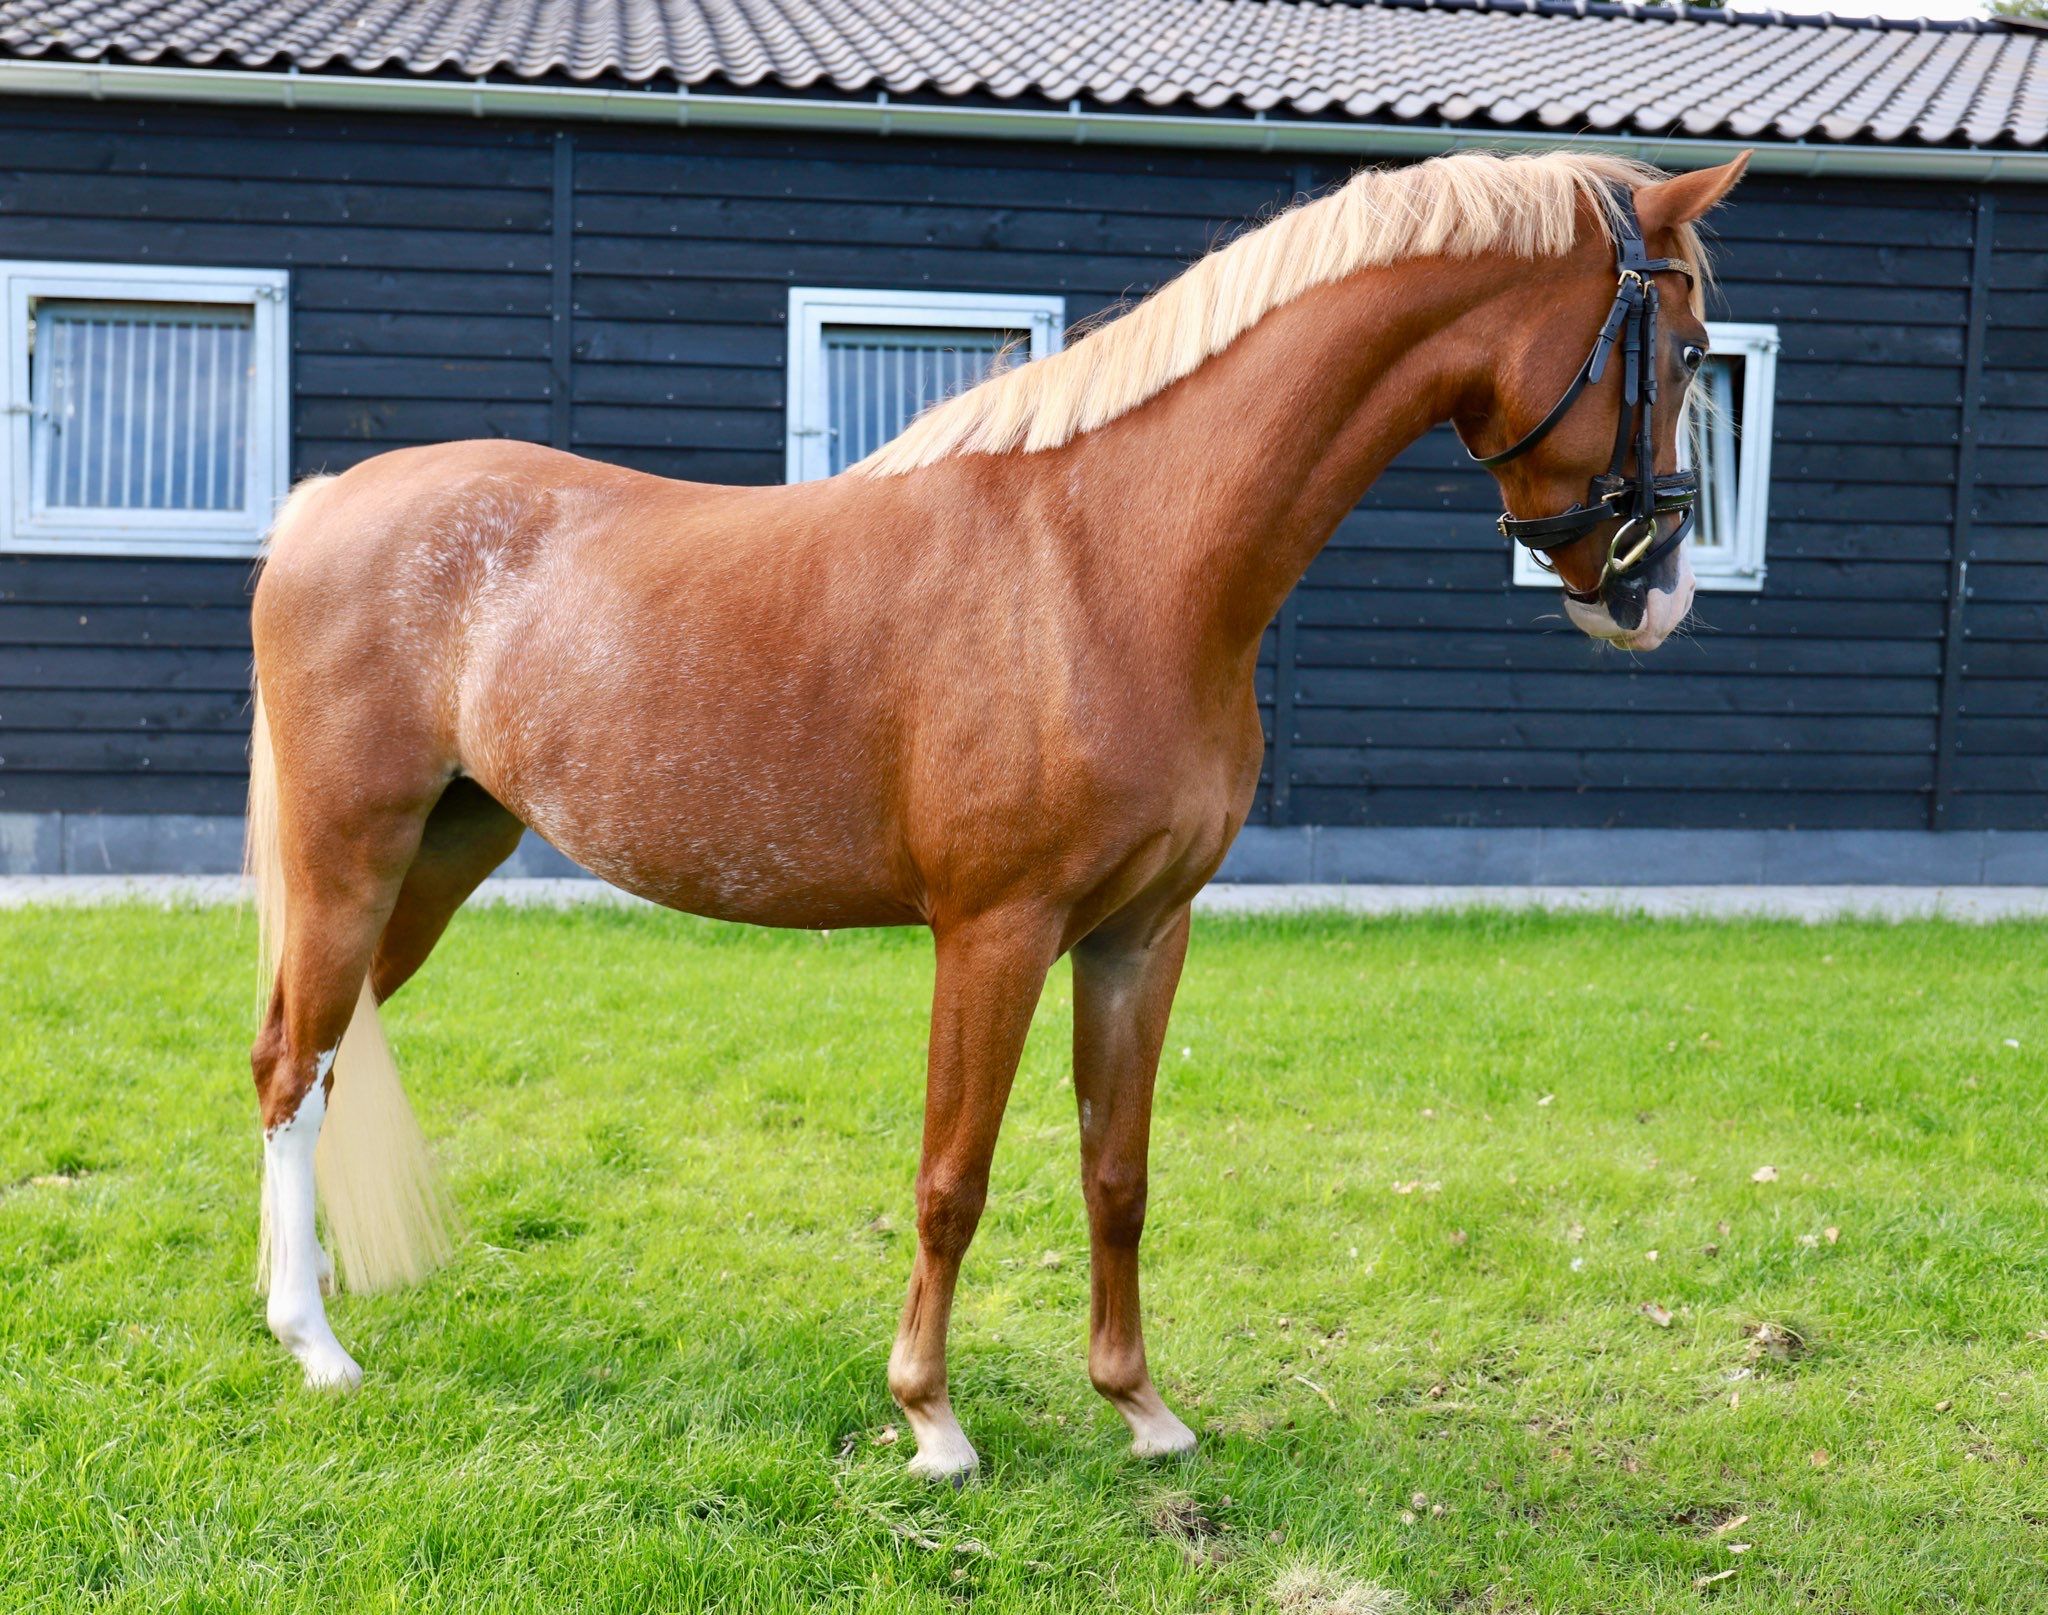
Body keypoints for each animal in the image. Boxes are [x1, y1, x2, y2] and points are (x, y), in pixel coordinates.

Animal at [244, 146, 1749, 1479]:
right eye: (1680, 353)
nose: (1654, 595)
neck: (1110, 561)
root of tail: (322, 503)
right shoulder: (994, 930)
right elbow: (951, 1176)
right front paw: (931, 1421)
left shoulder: (1142, 934)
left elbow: (1117, 1173)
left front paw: (1141, 1409)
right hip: (352, 856)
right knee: (291, 1069)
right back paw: (315, 1344)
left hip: (441, 857)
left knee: (312, 1060)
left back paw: (295, 1297)